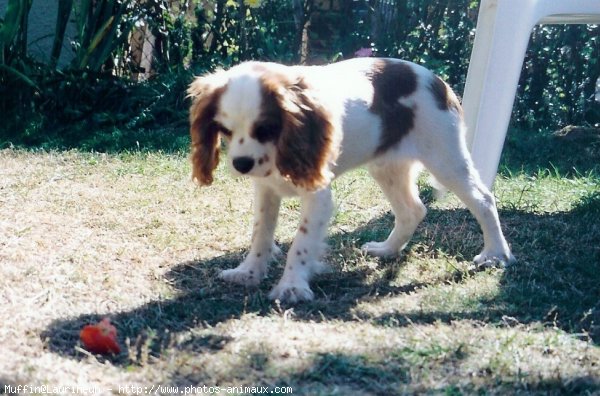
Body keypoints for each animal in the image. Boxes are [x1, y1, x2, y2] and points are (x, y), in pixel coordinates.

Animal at [189, 56, 516, 304]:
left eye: (266, 128)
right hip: (387, 167)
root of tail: (438, 82)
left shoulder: (318, 195)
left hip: (445, 159)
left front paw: (292, 286)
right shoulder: (266, 190)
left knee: (483, 199)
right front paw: (248, 272)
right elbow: (261, 233)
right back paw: (387, 249)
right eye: (225, 130)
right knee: (413, 210)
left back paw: (495, 254)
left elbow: (301, 242)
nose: (241, 164)